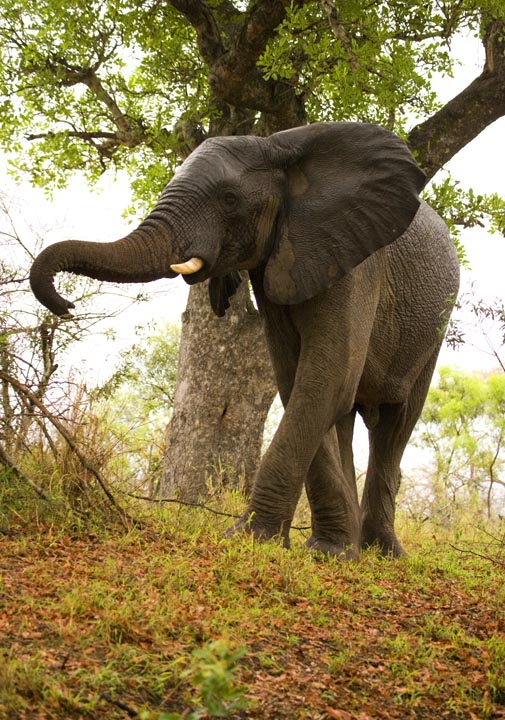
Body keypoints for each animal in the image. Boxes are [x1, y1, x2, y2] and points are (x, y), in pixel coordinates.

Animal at [29, 122, 458, 556]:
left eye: (230, 200)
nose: (65, 305)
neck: (281, 147)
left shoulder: (356, 263)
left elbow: (327, 380)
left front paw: (253, 539)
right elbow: (298, 382)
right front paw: (325, 551)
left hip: (434, 329)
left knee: (394, 424)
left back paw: (384, 552)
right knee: (346, 418)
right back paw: (354, 547)